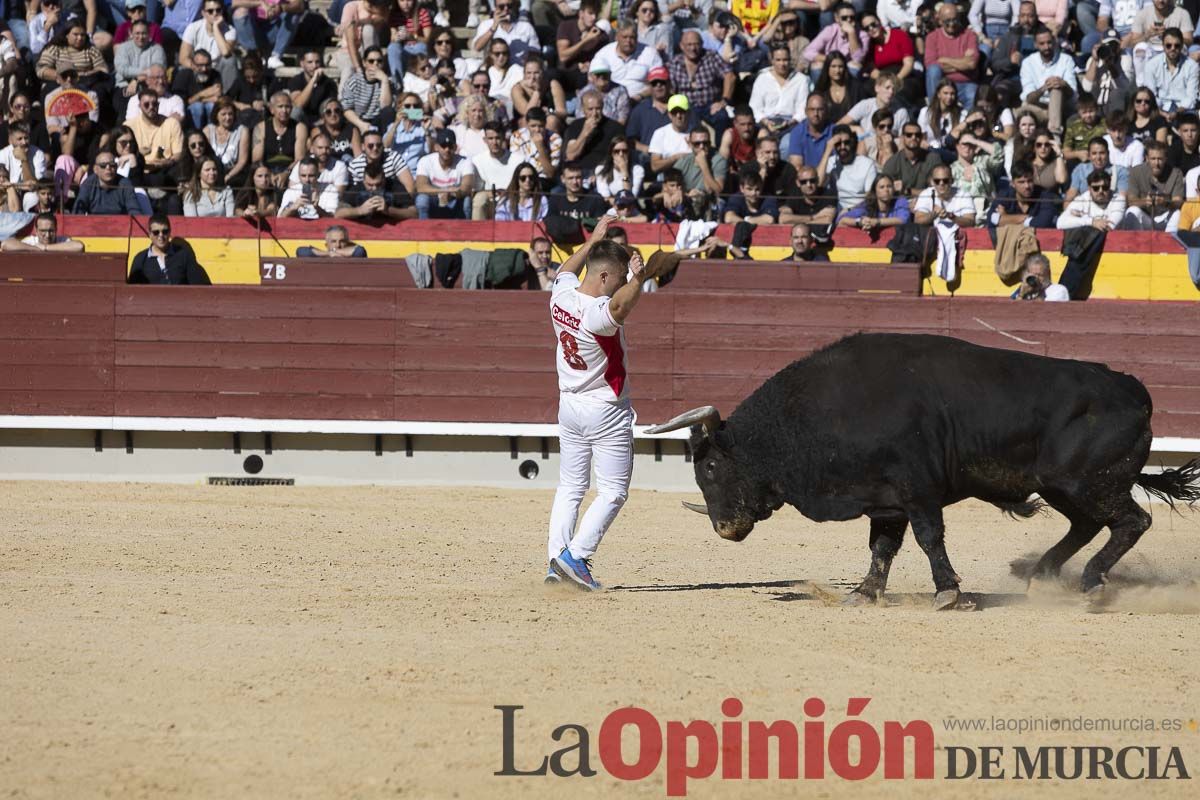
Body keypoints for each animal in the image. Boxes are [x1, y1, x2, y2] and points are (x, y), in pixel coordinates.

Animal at [648, 331, 1200, 606]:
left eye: (711, 466)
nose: (725, 528)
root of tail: (1134, 390)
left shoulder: (918, 493)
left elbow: (929, 538)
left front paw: (949, 593)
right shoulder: (884, 501)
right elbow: (882, 548)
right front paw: (865, 593)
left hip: (1088, 482)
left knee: (1131, 520)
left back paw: (1089, 584)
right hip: (1064, 486)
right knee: (1088, 525)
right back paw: (1042, 576)